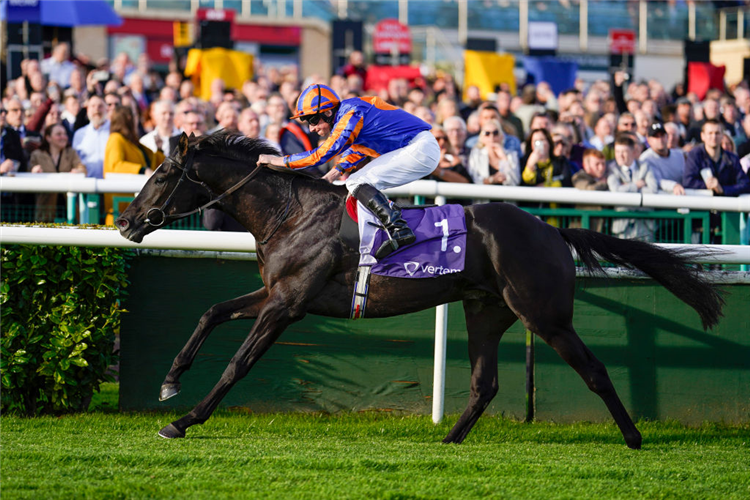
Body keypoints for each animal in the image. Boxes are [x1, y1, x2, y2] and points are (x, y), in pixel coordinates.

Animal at [116, 131, 724, 448]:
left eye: (162, 175)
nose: (124, 221)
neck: (289, 212)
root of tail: (552, 229)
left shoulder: (288, 305)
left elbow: (238, 363)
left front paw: (183, 420)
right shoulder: (276, 294)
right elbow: (212, 311)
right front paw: (170, 382)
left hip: (545, 316)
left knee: (594, 371)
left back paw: (634, 439)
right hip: (485, 311)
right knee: (484, 384)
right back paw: (449, 441)